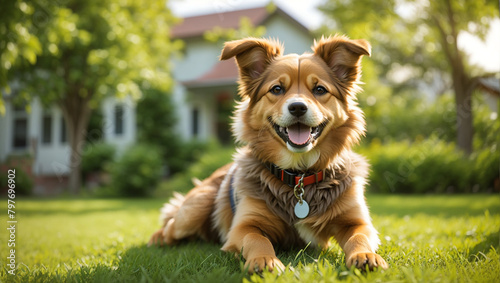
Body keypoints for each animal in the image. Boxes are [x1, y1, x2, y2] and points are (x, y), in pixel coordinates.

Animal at [149, 35, 390, 272]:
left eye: (320, 90)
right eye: (277, 89)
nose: (297, 107)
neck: (299, 175)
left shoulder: (357, 221)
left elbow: (359, 237)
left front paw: (365, 255)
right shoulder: (244, 225)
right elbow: (257, 239)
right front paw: (264, 260)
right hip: (195, 208)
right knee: (170, 226)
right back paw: (157, 240)